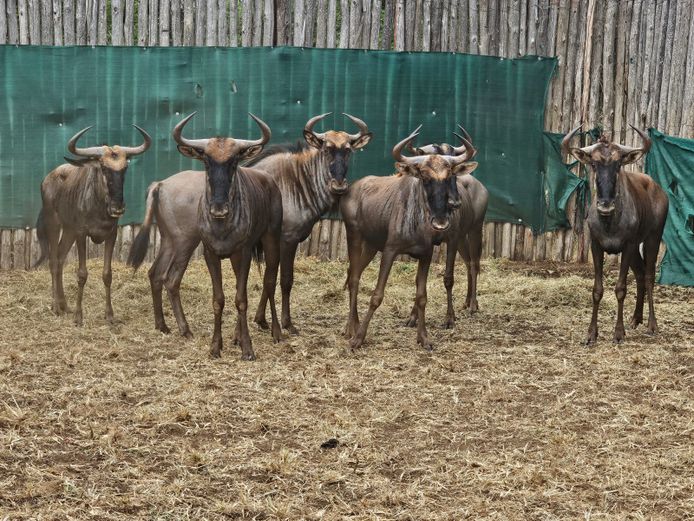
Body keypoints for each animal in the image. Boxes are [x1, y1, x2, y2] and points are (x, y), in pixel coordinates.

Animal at [35, 125, 151, 325]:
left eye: (125, 167)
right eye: (103, 167)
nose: (118, 207)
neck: (98, 205)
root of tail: (47, 179)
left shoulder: (111, 235)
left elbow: (107, 274)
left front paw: (110, 316)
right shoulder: (82, 234)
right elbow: (82, 274)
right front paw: (78, 317)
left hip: (69, 230)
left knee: (60, 257)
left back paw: (64, 304)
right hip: (54, 224)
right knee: (53, 260)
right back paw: (56, 306)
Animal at [562, 125, 668, 345]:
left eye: (618, 163)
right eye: (593, 164)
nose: (605, 205)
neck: (609, 222)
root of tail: (659, 190)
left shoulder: (627, 246)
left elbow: (620, 289)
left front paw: (618, 333)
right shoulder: (597, 246)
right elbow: (597, 290)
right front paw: (591, 334)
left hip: (652, 239)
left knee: (649, 276)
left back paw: (652, 325)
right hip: (636, 248)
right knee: (640, 274)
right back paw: (636, 319)